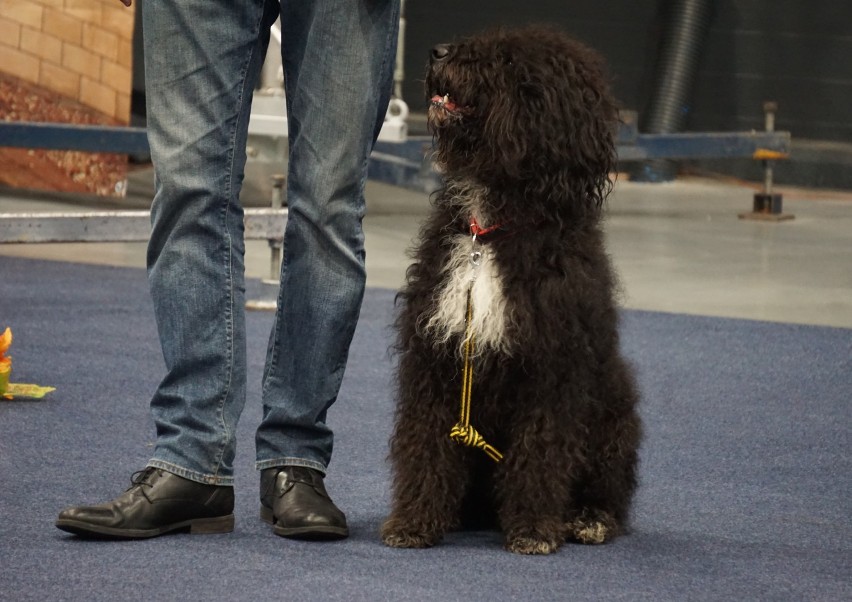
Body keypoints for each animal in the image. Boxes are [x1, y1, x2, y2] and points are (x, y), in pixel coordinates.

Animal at [382, 28, 644, 552]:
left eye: (505, 61)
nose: (437, 52)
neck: (490, 230)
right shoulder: (434, 359)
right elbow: (425, 445)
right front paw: (415, 521)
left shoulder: (553, 370)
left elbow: (541, 452)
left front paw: (534, 528)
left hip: (616, 412)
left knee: (610, 489)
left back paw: (590, 518)